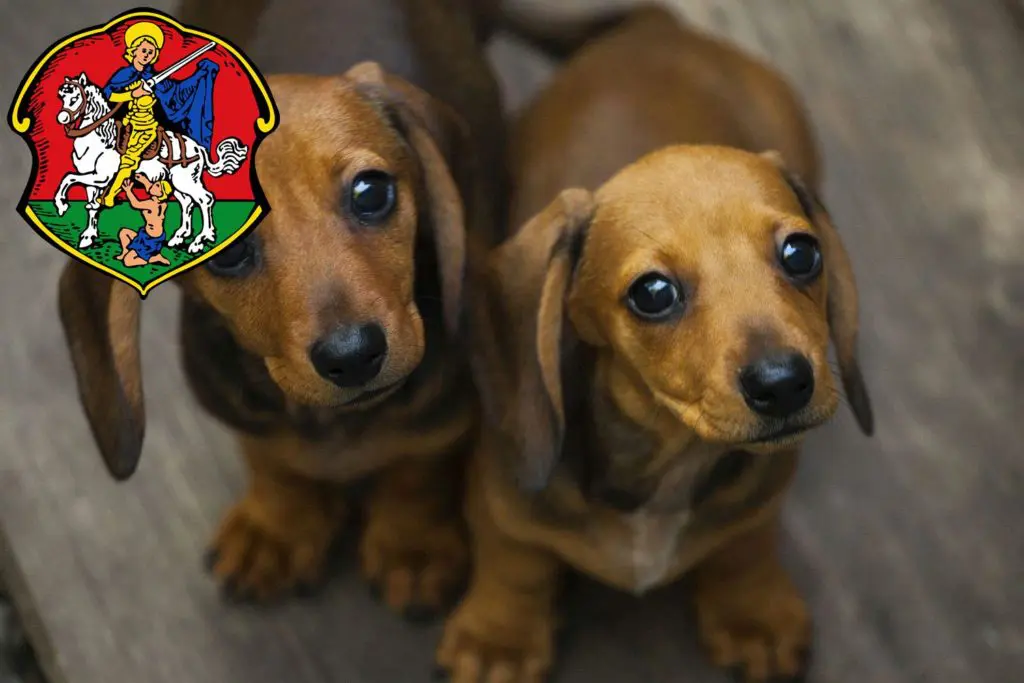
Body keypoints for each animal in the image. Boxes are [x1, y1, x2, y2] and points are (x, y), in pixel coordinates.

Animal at [54, 73, 249, 253]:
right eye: (62, 96)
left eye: (75, 97)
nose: (62, 118)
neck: (100, 139)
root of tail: (198, 148)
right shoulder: (92, 180)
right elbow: (91, 206)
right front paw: (88, 236)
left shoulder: (101, 177)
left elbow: (68, 178)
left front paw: (62, 205)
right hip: (177, 183)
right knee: (187, 203)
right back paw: (179, 237)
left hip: (186, 181)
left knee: (205, 199)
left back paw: (200, 240)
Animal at [438, 6, 872, 683]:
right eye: (653, 293)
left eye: (802, 253)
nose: (784, 384)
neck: (671, 462)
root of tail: (662, 25)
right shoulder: (502, 497)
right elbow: (516, 563)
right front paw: (499, 639)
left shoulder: (761, 492)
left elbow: (746, 545)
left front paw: (752, 613)